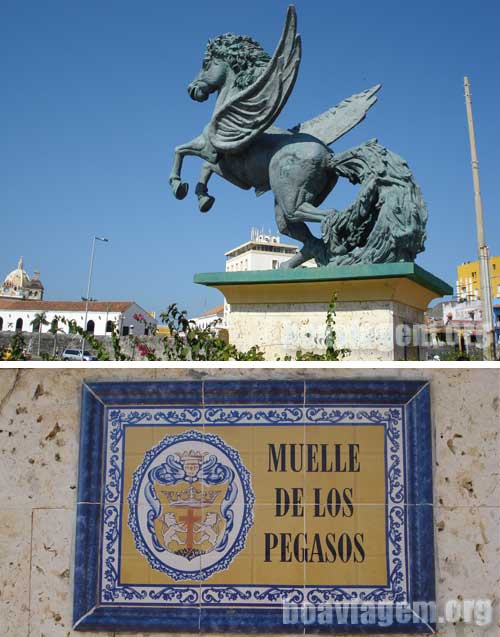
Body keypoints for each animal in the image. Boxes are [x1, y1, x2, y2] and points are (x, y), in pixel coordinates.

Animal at [170, 4, 380, 266]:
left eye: (206, 63)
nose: (192, 89)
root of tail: (329, 159)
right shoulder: (230, 170)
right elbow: (204, 168)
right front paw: (204, 199)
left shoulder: (210, 146)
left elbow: (180, 150)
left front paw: (178, 186)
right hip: (283, 206)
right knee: (309, 240)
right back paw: (286, 266)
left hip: (288, 196)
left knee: (322, 215)